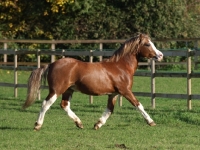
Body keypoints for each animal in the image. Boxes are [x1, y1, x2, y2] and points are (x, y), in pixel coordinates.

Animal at [23, 33, 164, 131]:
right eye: (147, 44)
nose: (161, 55)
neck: (120, 67)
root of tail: (52, 64)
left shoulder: (113, 94)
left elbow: (109, 110)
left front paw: (98, 124)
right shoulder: (125, 91)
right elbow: (138, 105)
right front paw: (151, 121)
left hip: (68, 90)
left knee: (64, 105)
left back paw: (79, 123)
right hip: (56, 90)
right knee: (45, 104)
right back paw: (37, 125)